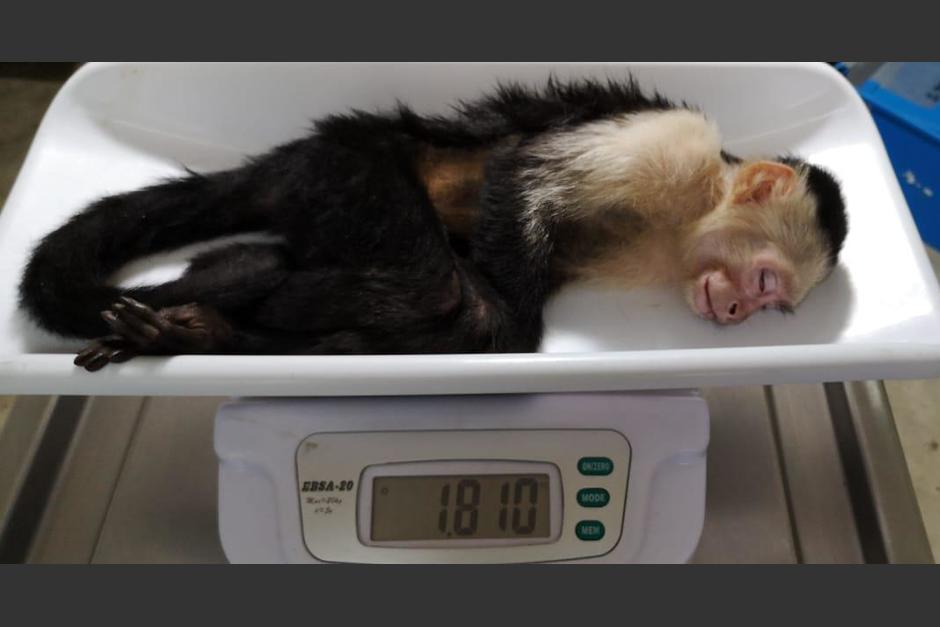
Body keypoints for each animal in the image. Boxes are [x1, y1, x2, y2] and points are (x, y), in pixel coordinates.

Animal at [17, 77, 848, 372]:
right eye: (763, 278)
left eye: (772, 303)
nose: (738, 310)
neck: (695, 207)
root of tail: (293, 156)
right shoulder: (671, 148)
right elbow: (518, 172)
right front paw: (514, 311)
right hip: (348, 171)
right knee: (428, 287)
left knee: (271, 265)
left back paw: (206, 320)